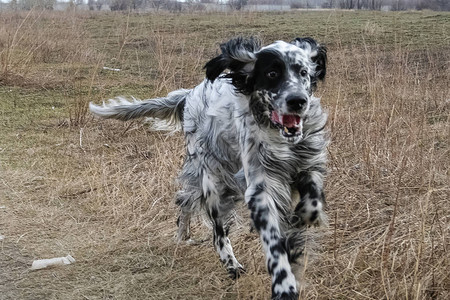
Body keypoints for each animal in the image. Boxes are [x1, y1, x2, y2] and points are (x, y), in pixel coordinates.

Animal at [89, 37, 328, 300]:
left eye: (303, 72)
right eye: (272, 73)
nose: (298, 101)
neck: (279, 137)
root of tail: (190, 94)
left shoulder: (307, 162)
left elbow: (312, 199)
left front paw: (303, 220)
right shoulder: (260, 190)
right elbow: (275, 245)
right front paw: (284, 285)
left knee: (185, 200)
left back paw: (184, 234)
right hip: (213, 182)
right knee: (217, 233)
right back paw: (230, 263)